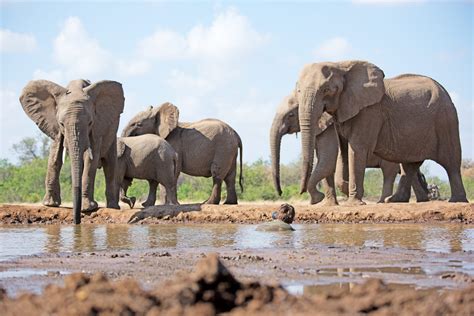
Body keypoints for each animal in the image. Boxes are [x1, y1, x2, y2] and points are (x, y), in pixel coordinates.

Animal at [19, 78, 125, 225]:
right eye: (61, 123)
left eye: (90, 123)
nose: (77, 222)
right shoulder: (54, 126)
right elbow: (54, 157)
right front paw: (50, 204)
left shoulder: (97, 127)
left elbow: (91, 159)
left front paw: (87, 208)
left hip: (112, 131)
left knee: (110, 166)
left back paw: (113, 207)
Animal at [296, 60, 466, 205]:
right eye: (298, 90)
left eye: (327, 90)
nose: (314, 197)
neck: (341, 65)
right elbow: (344, 152)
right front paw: (347, 189)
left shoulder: (370, 112)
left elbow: (357, 149)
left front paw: (354, 202)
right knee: (409, 165)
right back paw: (394, 200)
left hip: (446, 120)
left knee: (451, 162)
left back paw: (456, 201)